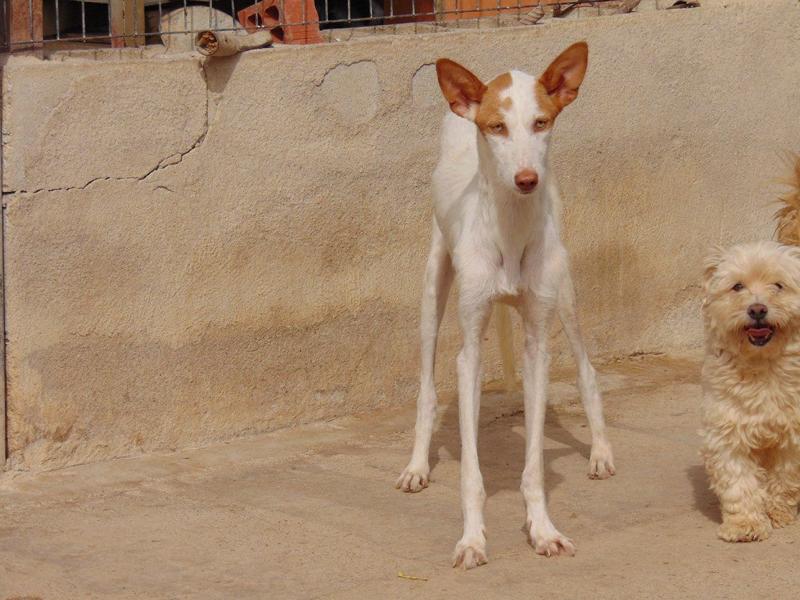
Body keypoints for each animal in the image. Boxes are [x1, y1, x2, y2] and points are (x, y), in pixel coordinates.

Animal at [395, 42, 615, 569]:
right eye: (497, 127)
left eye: (541, 122)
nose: (526, 179)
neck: (510, 230)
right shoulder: (470, 352)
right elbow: (472, 471)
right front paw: (473, 539)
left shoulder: (538, 344)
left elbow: (533, 463)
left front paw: (543, 529)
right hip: (433, 289)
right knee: (427, 388)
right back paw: (416, 465)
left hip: (566, 291)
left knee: (587, 370)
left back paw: (599, 451)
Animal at [702, 161, 800, 542]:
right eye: (737, 287)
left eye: (778, 286)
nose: (757, 309)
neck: (763, 367)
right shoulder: (726, 430)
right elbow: (738, 481)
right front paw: (745, 523)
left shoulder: (793, 436)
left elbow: (785, 478)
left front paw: (778, 510)